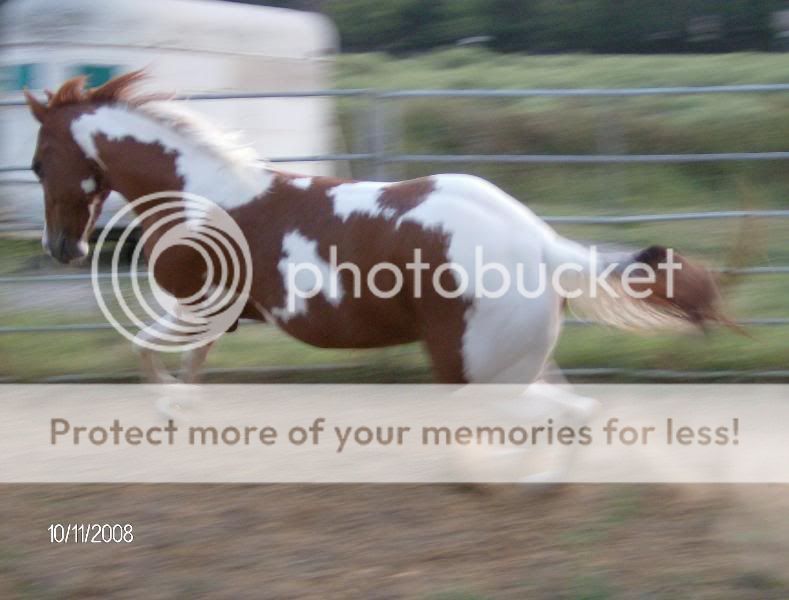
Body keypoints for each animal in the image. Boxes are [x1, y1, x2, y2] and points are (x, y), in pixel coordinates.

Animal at [24, 71, 728, 384]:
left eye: (36, 162)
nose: (62, 247)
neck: (199, 196)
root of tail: (542, 244)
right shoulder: (213, 318)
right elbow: (184, 367)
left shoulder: (199, 306)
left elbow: (150, 355)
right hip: (514, 354)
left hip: (474, 359)